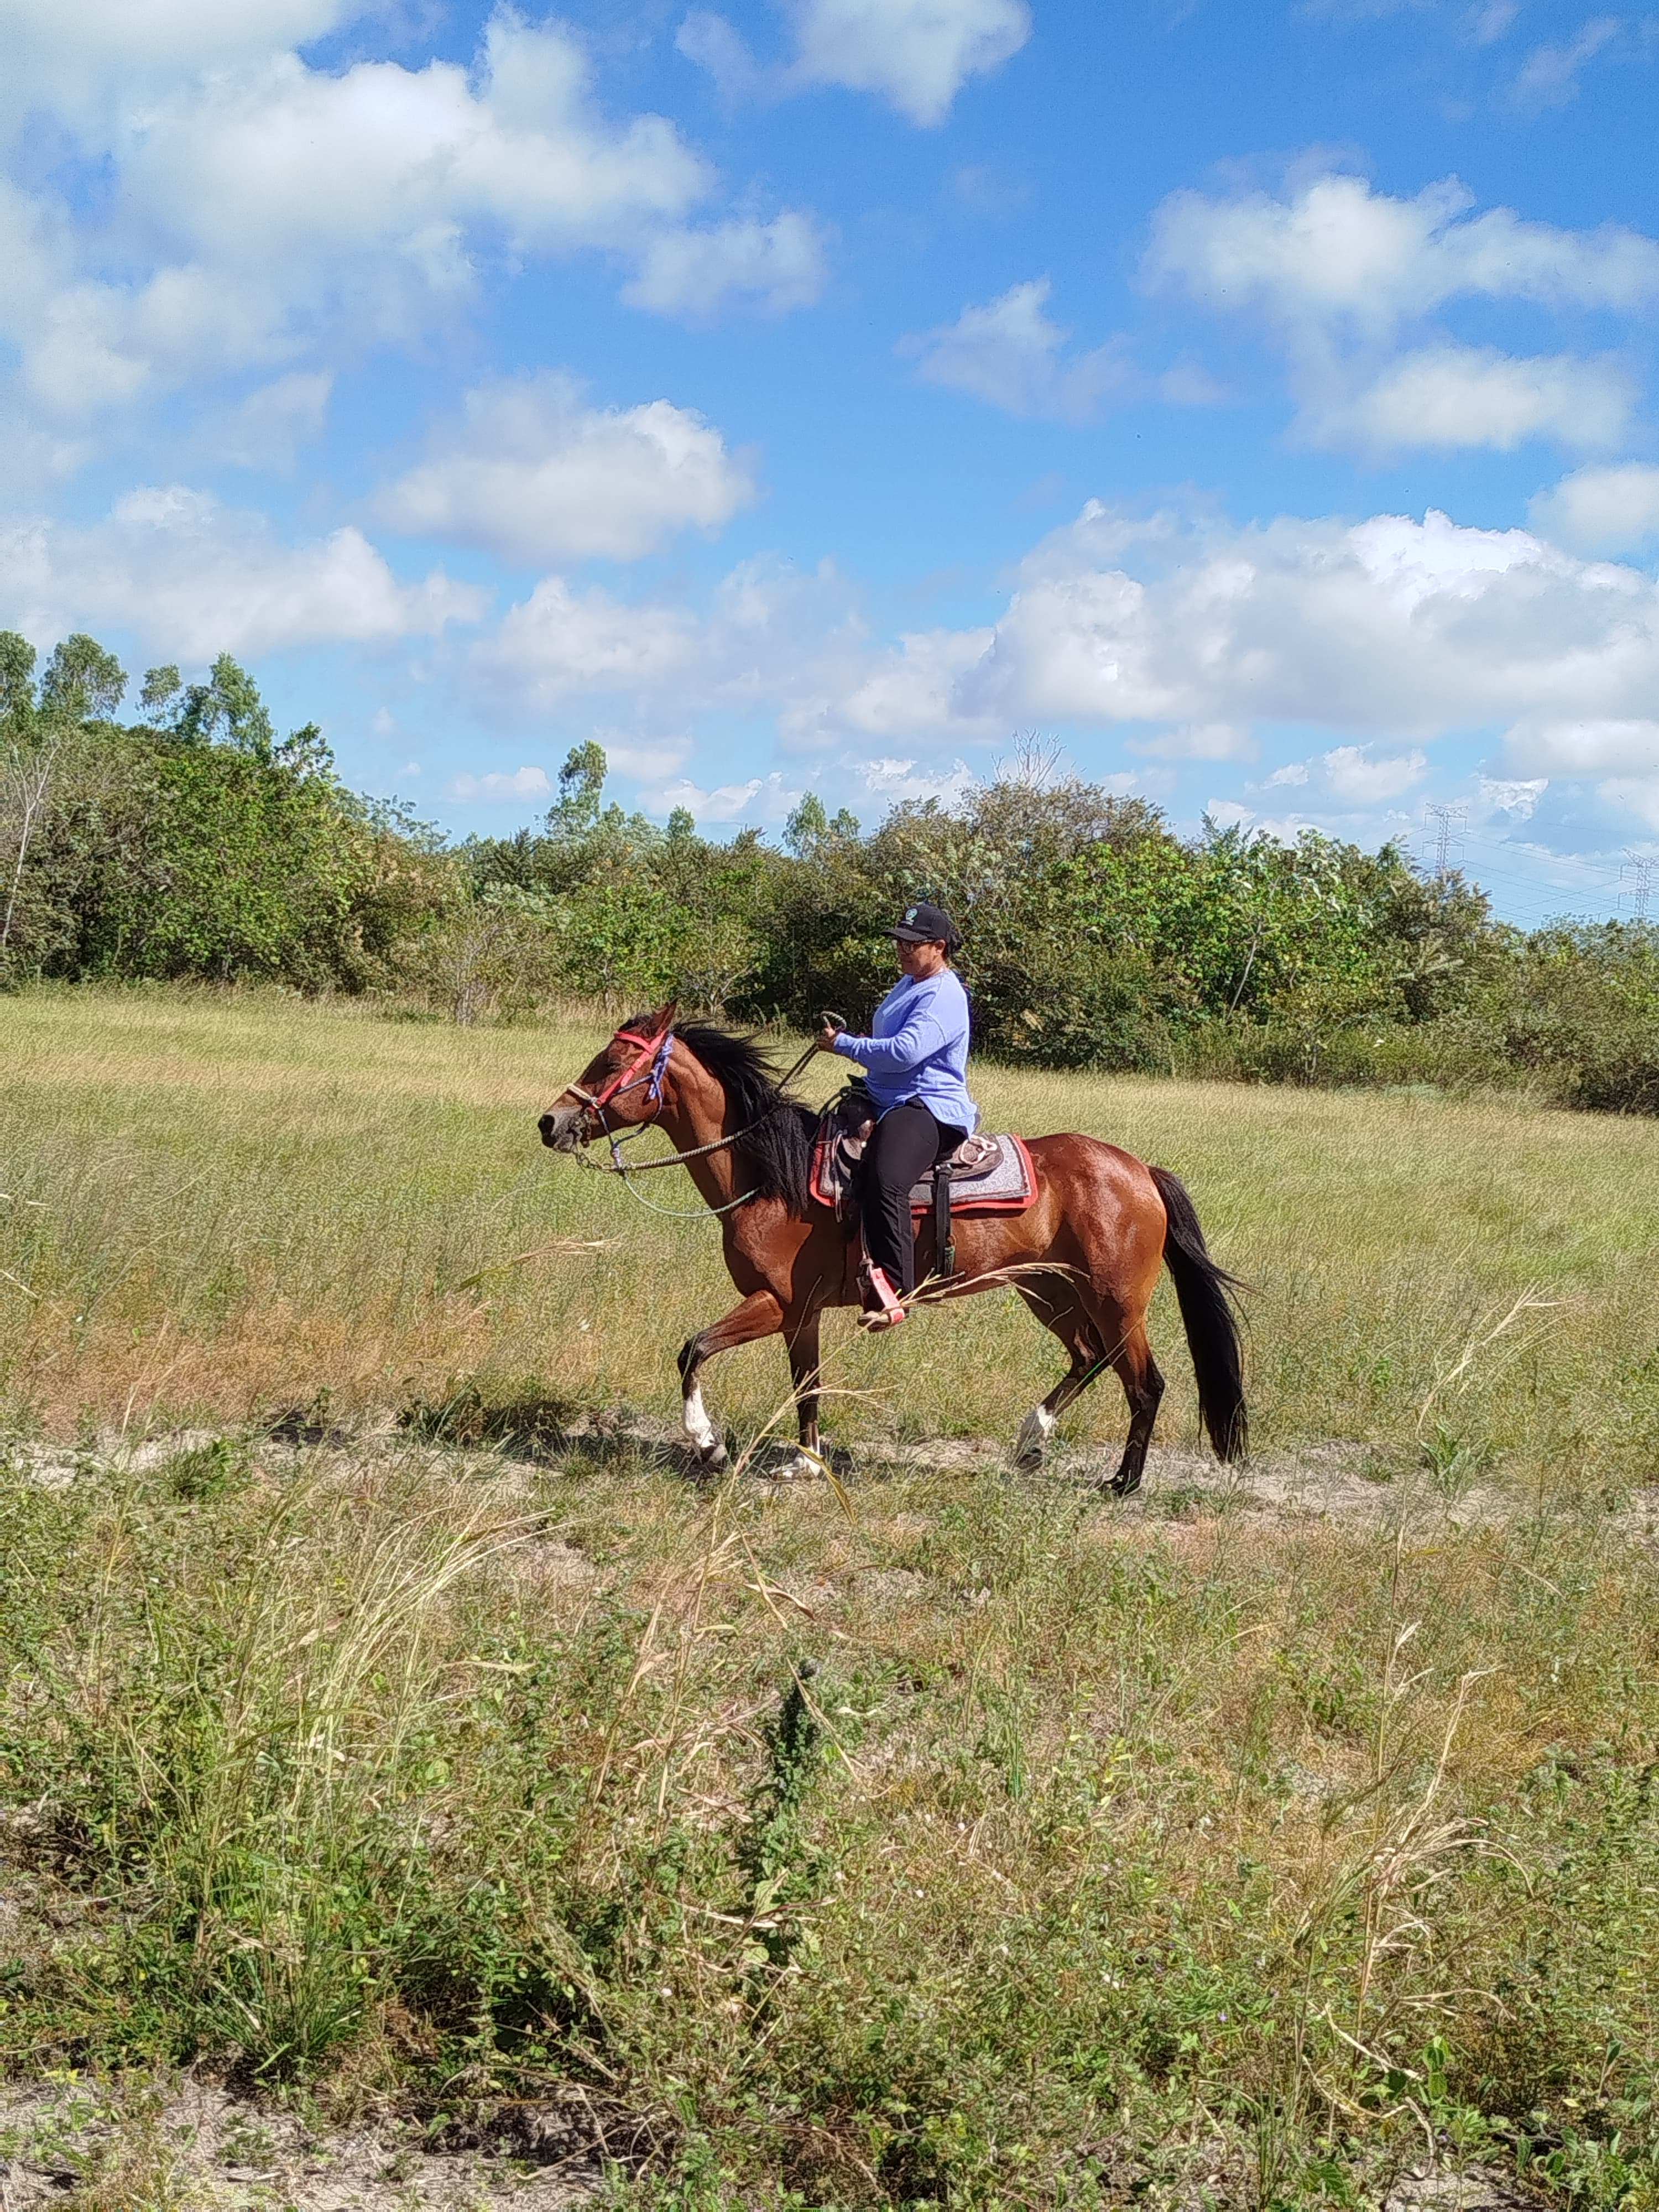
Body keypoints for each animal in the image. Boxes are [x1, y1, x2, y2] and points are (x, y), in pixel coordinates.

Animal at [538, 1005, 1246, 1495]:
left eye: (610, 1065)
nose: (551, 1122)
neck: (771, 1175)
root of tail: (1140, 1170)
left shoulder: (776, 1302)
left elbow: (694, 1350)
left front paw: (708, 1445)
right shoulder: (801, 1315)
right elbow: (807, 1388)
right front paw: (805, 1463)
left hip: (1115, 1299)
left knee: (1144, 1383)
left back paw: (1122, 1481)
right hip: (1049, 1290)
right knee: (1088, 1357)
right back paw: (1031, 1442)